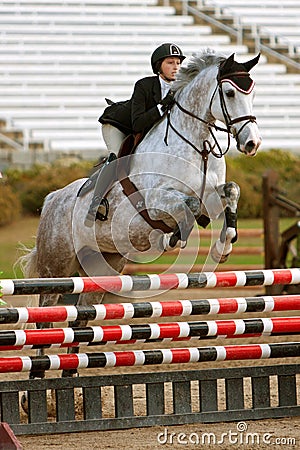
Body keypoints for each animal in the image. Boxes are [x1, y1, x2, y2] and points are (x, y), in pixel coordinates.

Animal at [19, 49, 262, 380]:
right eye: (229, 92)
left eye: (252, 93)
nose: (252, 144)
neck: (195, 144)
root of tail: (52, 198)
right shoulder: (156, 200)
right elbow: (186, 205)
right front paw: (174, 237)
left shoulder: (213, 194)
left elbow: (231, 192)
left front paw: (224, 246)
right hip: (55, 270)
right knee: (45, 317)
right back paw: (39, 375)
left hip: (101, 269)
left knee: (80, 319)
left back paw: (70, 375)